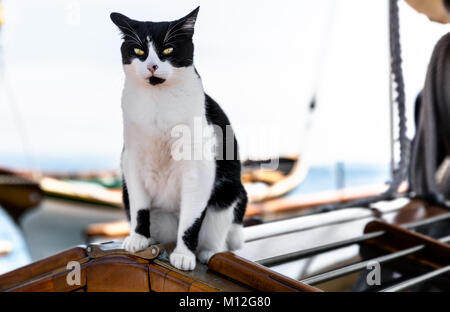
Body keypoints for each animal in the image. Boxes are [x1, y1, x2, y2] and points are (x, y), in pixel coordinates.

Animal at [110, 7, 248, 270]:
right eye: (139, 51)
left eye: (168, 50)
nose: (152, 66)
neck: (158, 103)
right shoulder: (132, 160)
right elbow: (140, 207)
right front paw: (138, 238)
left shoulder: (199, 169)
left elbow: (191, 220)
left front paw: (184, 255)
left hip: (227, 197)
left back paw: (208, 252)